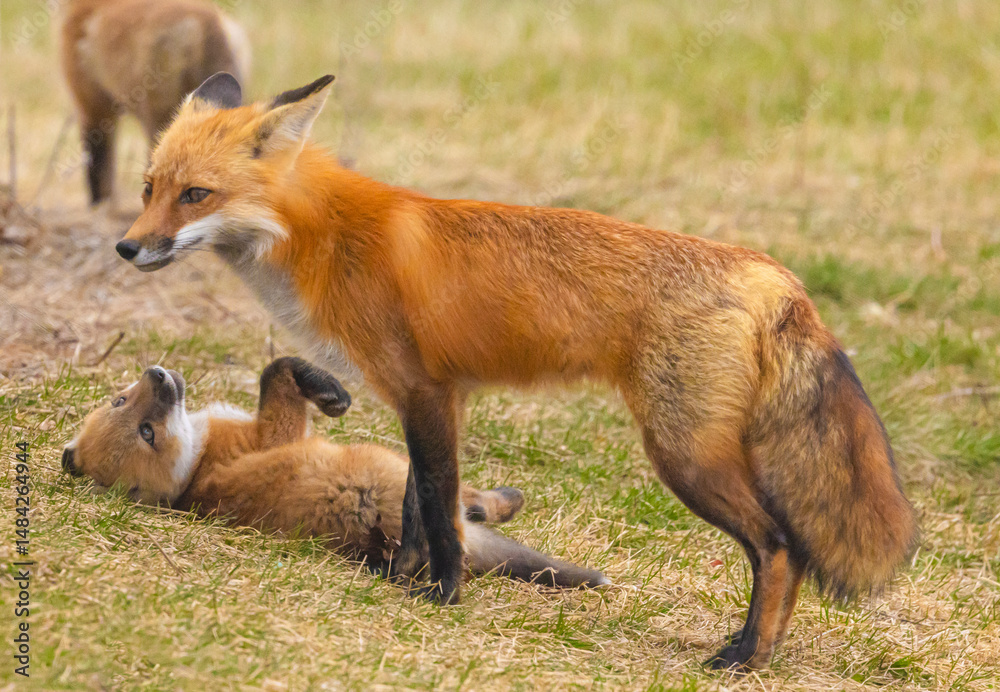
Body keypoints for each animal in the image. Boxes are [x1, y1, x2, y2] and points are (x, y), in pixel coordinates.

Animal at [61, 357, 609, 588]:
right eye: (147, 433)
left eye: (119, 401)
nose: (159, 376)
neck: (193, 472)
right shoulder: (276, 431)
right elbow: (277, 370)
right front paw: (330, 393)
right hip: (396, 467)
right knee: (459, 511)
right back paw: (500, 502)